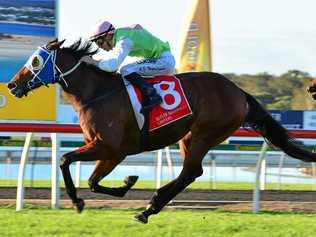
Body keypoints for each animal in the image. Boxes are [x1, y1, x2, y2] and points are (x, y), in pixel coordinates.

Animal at [7, 39, 316, 224]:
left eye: (36, 61)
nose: (12, 85)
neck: (96, 94)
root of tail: (238, 91)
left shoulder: (109, 147)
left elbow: (65, 160)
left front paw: (78, 201)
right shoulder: (111, 152)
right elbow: (92, 180)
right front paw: (126, 182)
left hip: (205, 133)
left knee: (190, 172)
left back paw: (149, 207)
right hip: (189, 137)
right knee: (191, 172)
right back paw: (151, 206)